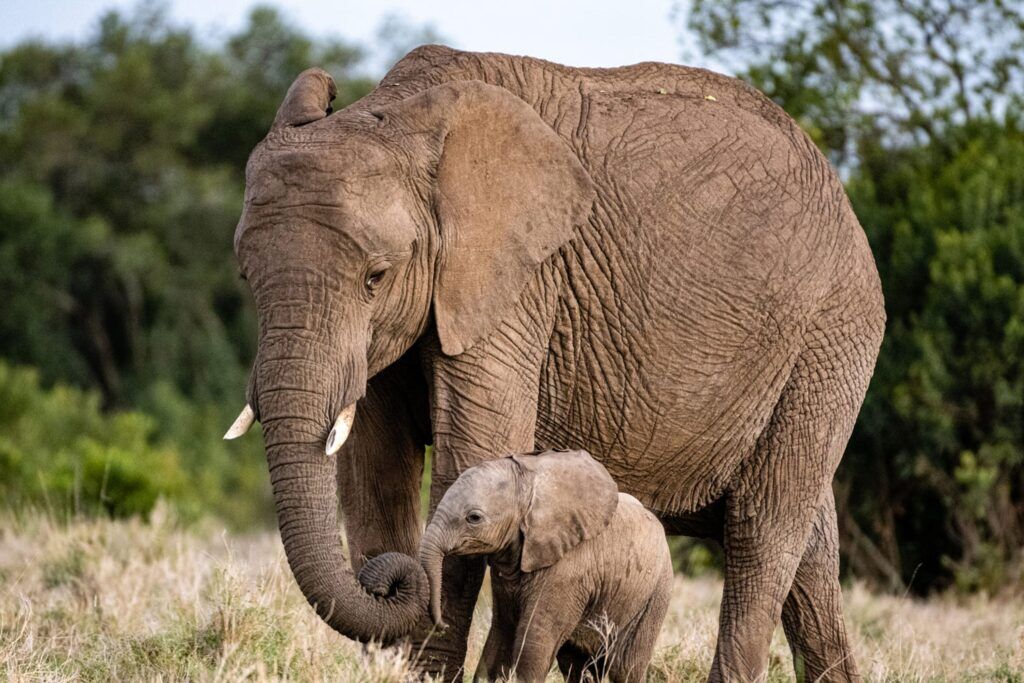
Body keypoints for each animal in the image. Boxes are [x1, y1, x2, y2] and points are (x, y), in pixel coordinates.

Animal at [415, 448, 671, 683]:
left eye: (474, 518)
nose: (443, 625)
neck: (530, 484)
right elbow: (502, 631)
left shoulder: (568, 568)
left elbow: (534, 642)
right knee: (576, 664)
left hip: (654, 594)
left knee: (625, 667)